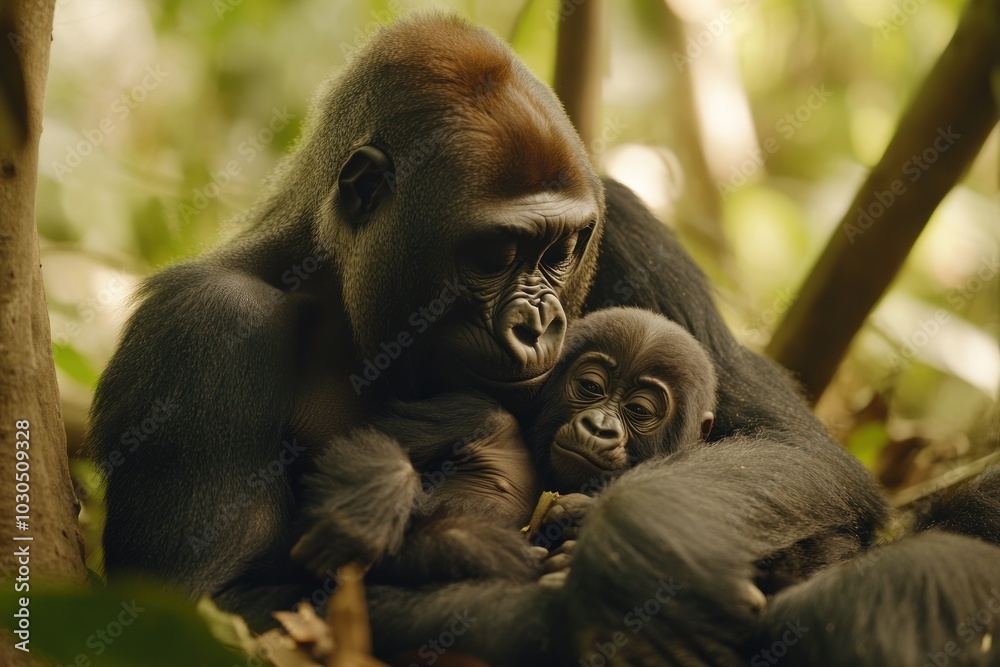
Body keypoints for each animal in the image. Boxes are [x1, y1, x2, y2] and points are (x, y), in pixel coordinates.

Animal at [292, 306, 716, 584]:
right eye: (591, 386)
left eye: (639, 410)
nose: (598, 426)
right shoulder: (476, 412)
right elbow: (380, 441)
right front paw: (364, 512)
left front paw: (578, 517)